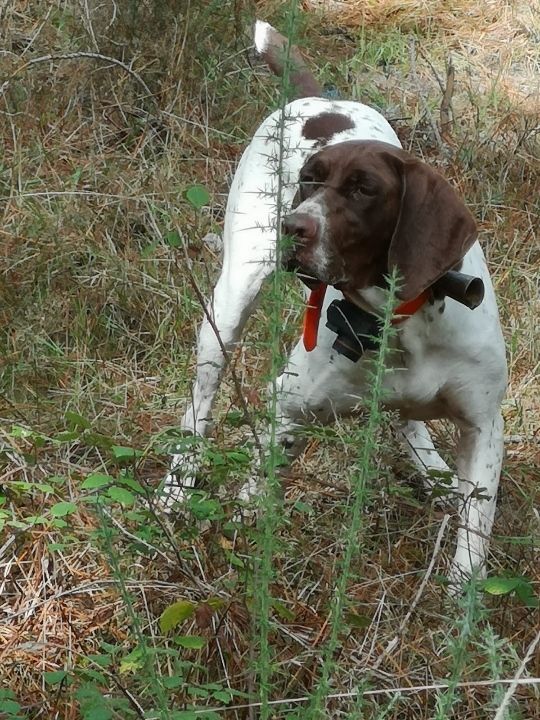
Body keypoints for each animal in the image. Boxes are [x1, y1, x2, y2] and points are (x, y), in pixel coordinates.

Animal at [163, 21, 506, 592]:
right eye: (308, 179)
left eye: (364, 189)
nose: (291, 226)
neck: (402, 322)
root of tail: (322, 97)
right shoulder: (289, 406)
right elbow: (255, 492)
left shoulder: (484, 429)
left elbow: (471, 550)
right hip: (229, 304)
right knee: (200, 405)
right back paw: (175, 487)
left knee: (406, 420)